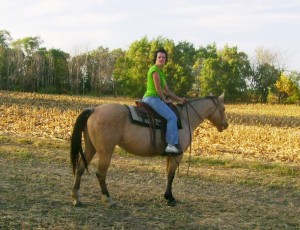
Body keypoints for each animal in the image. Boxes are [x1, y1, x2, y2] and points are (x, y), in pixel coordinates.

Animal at [70, 93, 229, 207]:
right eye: (223, 109)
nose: (226, 125)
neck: (184, 118)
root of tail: (94, 110)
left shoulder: (170, 155)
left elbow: (168, 174)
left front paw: (167, 196)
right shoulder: (178, 155)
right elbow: (171, 175)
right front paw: (170, 198)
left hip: (91, 147)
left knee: (80, 168)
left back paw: (76, 198)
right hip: (106, 151)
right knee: (100, 173)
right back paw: (108, 199)